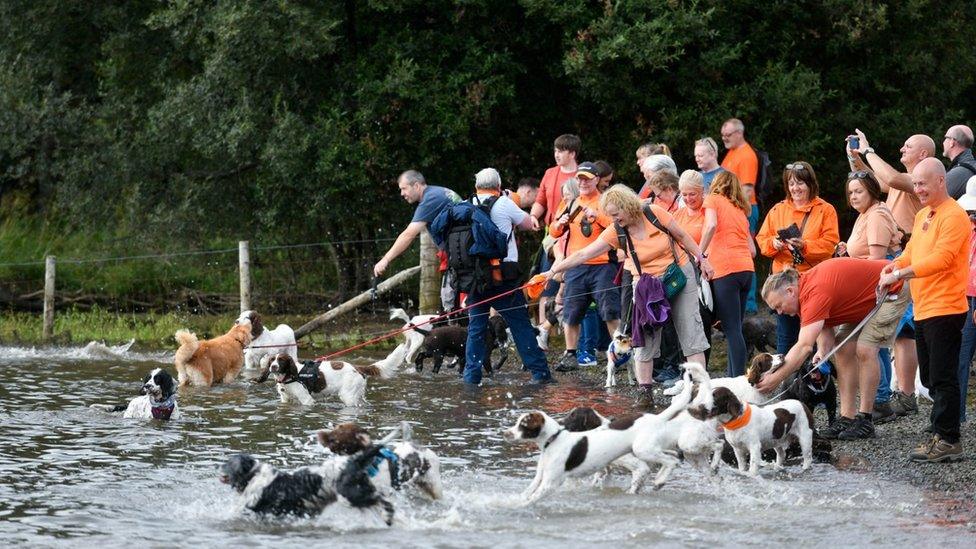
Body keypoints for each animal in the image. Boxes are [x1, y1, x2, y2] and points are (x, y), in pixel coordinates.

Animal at [220, 446, 392, 524]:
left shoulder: (252, 510)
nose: (219, 467)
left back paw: (389, 517)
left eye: (227, 463)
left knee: (385, 502)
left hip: (351, 495)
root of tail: (353, 461)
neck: (253, 475)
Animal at [504, 370, 692, 504]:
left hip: (644, 450)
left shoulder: (634, 465)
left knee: (669, 461)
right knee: (673, 457)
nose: (559, 423)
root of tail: (656, 418)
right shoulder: (604, 468)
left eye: (573, 416)